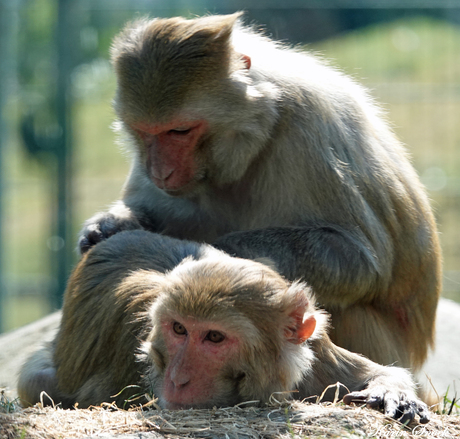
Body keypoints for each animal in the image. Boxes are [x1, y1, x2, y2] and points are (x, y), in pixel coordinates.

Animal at [17, 232, 428, 424]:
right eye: (178, 329)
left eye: (214, 337)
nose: (177, 379)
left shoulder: (315, 349)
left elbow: (371, 371)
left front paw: (391, 392)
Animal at [78, 12, 442, 372]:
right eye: (143, 132)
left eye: (179, 131)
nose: (159, 172)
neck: (258, 134)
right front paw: (110, 225)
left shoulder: (309, 133)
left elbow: (361, 261)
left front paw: (217, 254)